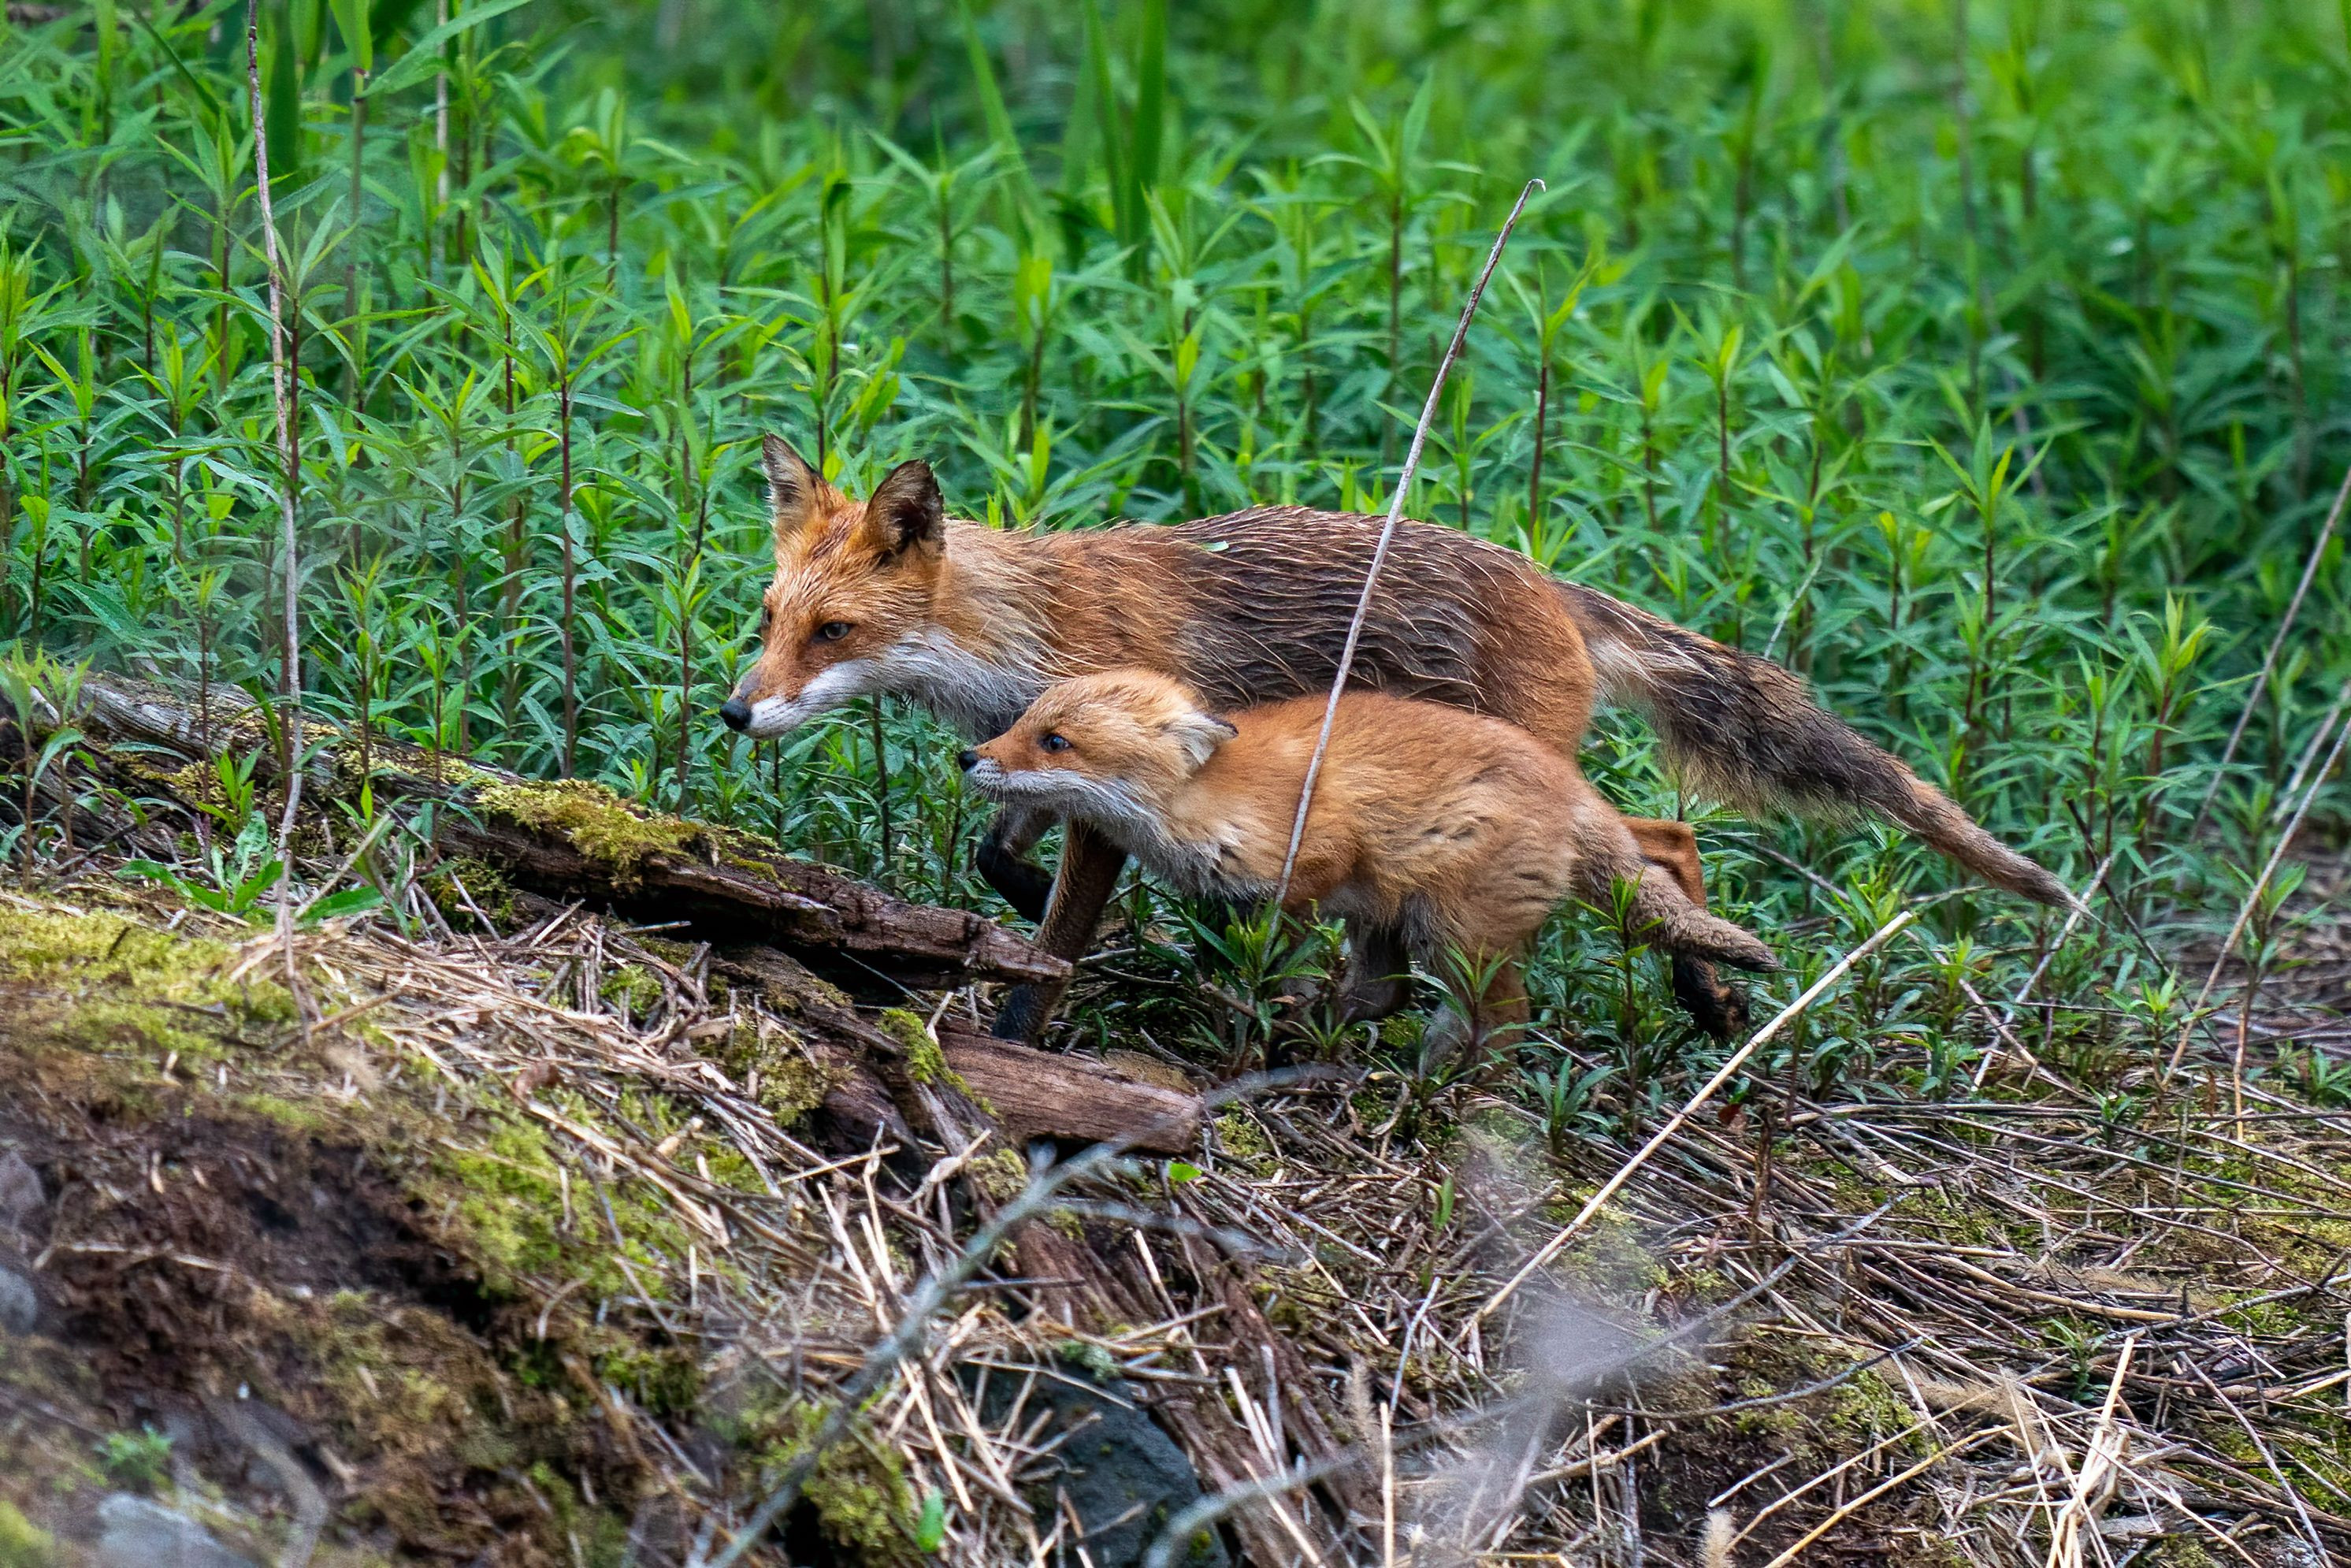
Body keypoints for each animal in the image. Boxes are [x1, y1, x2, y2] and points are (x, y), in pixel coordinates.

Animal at [957, 669, 1780, 1045]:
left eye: (1056, 742)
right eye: (1022, 724)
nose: (968, 758)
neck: (1210, 801)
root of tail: (1568, 793)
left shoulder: (1315, 857)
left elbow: (1271, 955)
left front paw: (1254, 1020)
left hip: (1452, 930)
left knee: (1501, 1014)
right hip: (1394, 914)